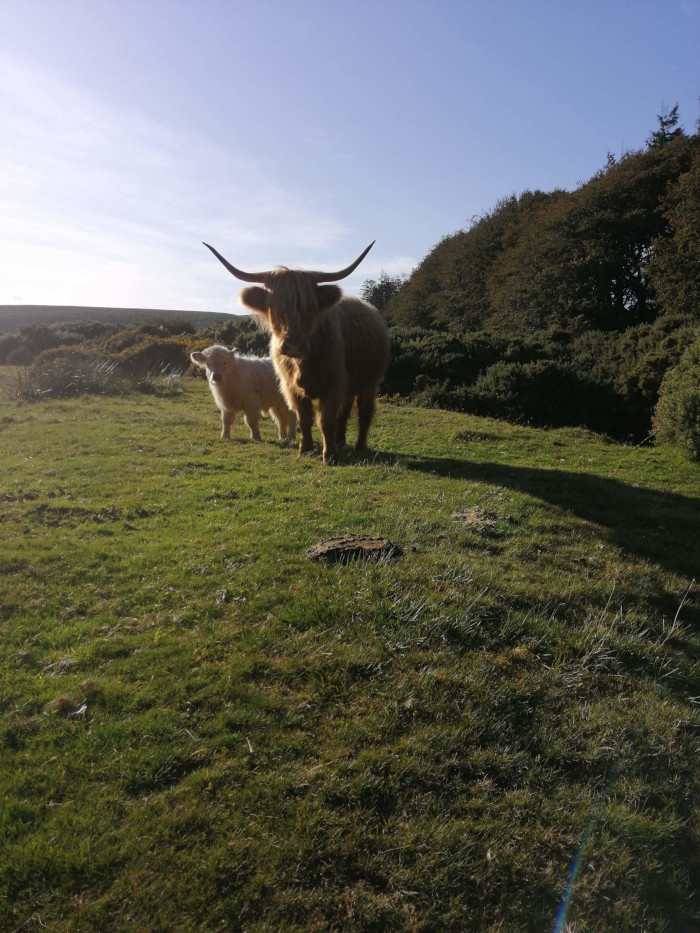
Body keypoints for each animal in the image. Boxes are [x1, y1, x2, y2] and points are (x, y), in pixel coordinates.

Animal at [203, 242, 390, 464]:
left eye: (309, 308)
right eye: (275, 308)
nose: (293, 346)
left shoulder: (333, 384)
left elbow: (326, 420)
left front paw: (330, 456)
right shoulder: (292, 387)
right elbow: (304, 418)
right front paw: (305, 449)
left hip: (369, 383)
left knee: (364, 413)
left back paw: (360, 446)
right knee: (344, 411)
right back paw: (341, 440)